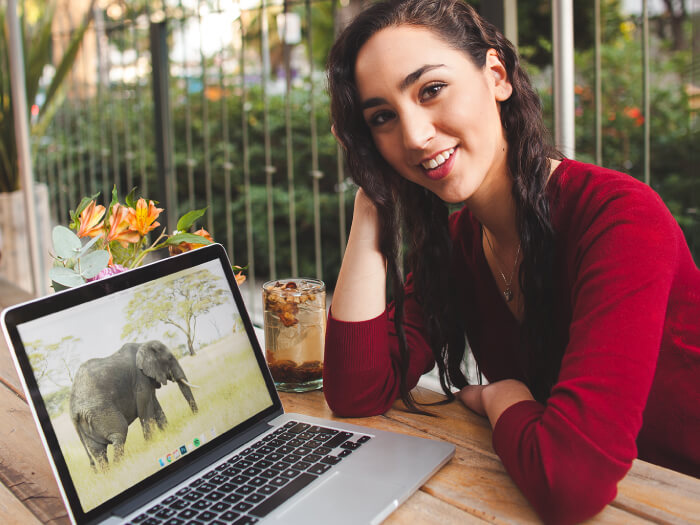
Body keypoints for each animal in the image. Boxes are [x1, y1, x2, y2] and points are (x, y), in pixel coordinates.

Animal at [68, 340, 198, 470]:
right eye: (170, 358)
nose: (195, 415)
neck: (143, 345)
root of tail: (74, 413)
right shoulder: (140, 379)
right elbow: (145, 411)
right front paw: (151, 443)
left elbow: (155, 405)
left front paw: (167, 432)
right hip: (101, 411)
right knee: (119, 434)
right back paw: (119, 467)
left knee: (98, 451)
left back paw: (109, 472)